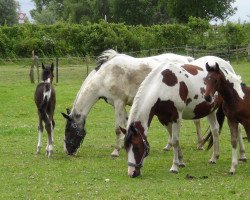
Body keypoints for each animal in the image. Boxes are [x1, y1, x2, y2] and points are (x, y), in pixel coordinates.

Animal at [61, 49, 199, 155]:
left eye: (68, 130)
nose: (68, 151)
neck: (105, 76)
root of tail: (188, 60)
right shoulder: (118, 105)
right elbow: (126, 124)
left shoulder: (118, 103)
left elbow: (117, 128)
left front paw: (116, 151)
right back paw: (170, 146)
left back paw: (199, 144)